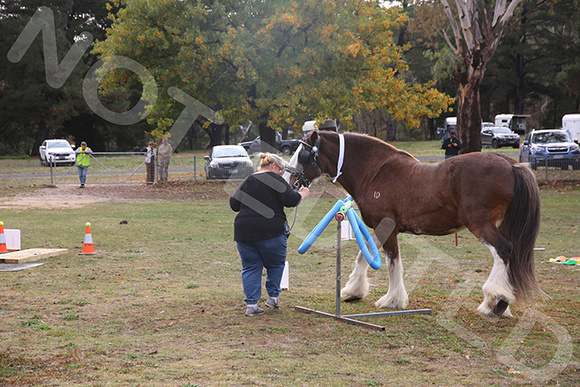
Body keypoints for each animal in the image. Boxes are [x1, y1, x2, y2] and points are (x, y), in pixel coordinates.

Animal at [286, 130, 544, 318]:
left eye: (304, 154)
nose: (289, 181)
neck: (374, 171)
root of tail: (511, 164)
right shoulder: (381, 228)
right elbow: (364, 256)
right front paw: (353, 291)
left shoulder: (386, 226)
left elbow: (392, 263)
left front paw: (392, 299)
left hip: (480, 224)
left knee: (503, 250)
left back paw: (495, 300)